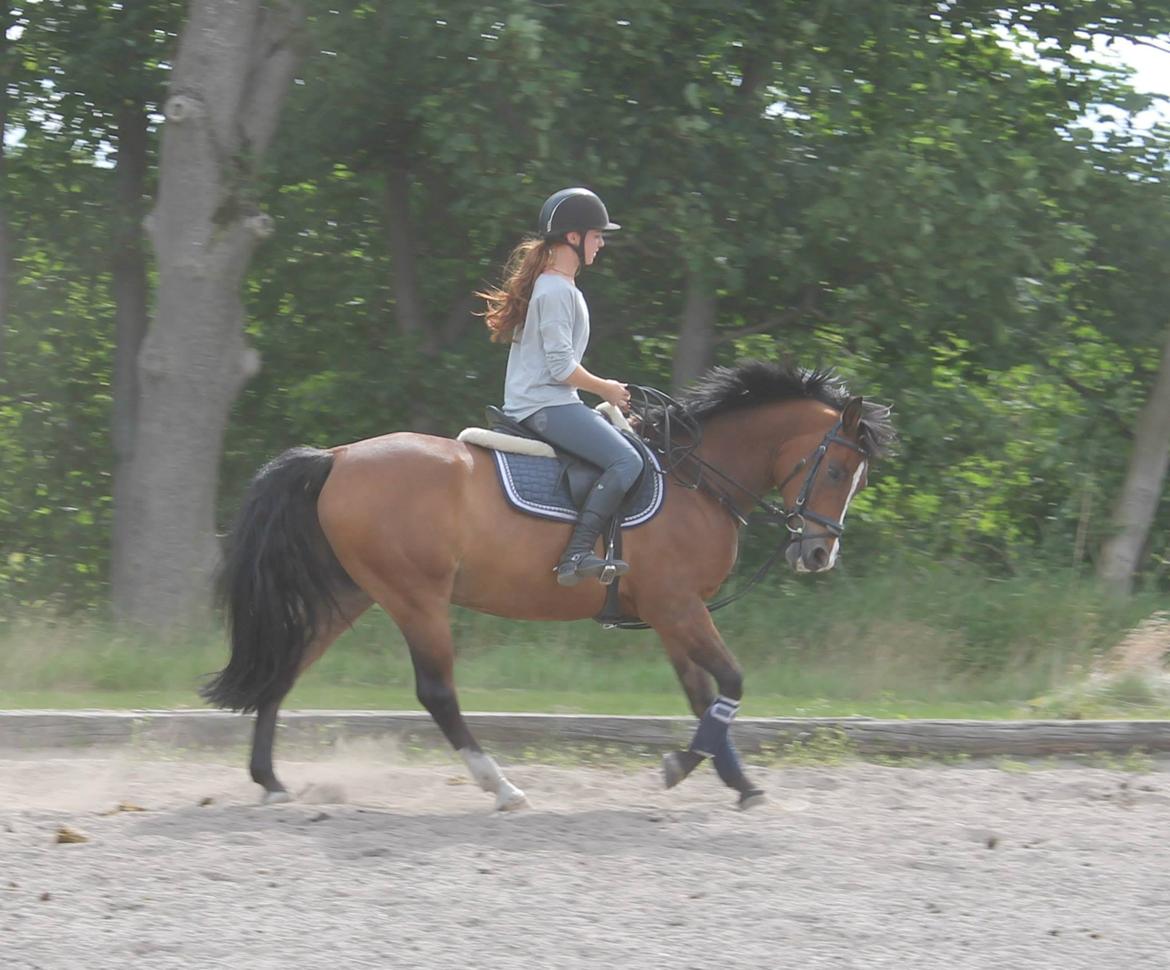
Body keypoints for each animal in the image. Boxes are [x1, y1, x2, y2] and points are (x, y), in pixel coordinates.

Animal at [203, 360, 895, 809]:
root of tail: (338, 456)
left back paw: (269, 780)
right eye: (837, 470)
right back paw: (501, 786)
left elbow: (704, 695)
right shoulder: (678, 606)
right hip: (414, 597)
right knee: (437, 693)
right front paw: (683, 765)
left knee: (286, 665)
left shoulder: (672, 613)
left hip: (354, 592)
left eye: (857, 478)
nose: (818, 553)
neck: (698, 479)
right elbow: (731, 683)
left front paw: (735, 782)